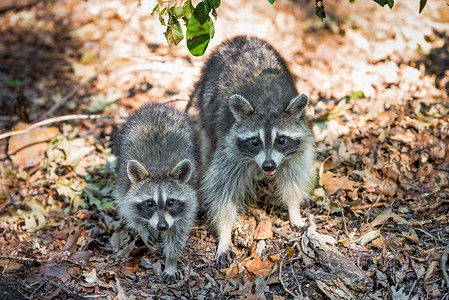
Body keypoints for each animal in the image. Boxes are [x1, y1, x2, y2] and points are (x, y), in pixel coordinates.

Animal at [111, 102, 198, 282]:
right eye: (149, 203)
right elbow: (126, 207)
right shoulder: (124, 185)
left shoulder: (189, 200)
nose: (162, 226)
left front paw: (171, 261)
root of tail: (157, 105)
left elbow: (177, 233)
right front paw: (141, 228)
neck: (158, 169)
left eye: (170, 202)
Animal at [193, 36, 316, 268]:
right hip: (205, 100)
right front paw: (224, 235)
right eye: (255, 142)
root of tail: (240, 38)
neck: (267, 103)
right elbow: (221, 191)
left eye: (281, 140)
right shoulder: (229, 147)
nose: (269, 166)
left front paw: (294, 209)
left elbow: (293, 178)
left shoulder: (295, 151)